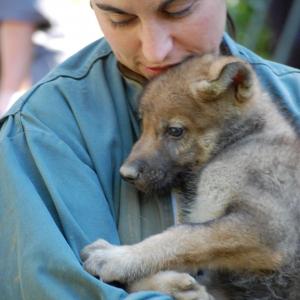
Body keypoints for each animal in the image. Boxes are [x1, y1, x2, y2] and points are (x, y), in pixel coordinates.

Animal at [81, 55, 300, 298]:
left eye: (175, 131)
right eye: (143, 125)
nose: (125, 174)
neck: (241, 140)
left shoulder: (271, 227)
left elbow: (183, 236)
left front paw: (116, 257)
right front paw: (177, 285)